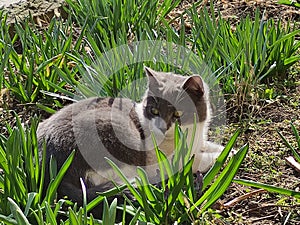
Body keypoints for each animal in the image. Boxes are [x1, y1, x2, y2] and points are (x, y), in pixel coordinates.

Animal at [37, 67, 224, 213]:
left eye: (178, 114)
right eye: (154, 111)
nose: (162, 127)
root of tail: (53, 174)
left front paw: (222, 150)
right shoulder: (160, 159)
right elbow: (190, 161)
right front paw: (223, 156)